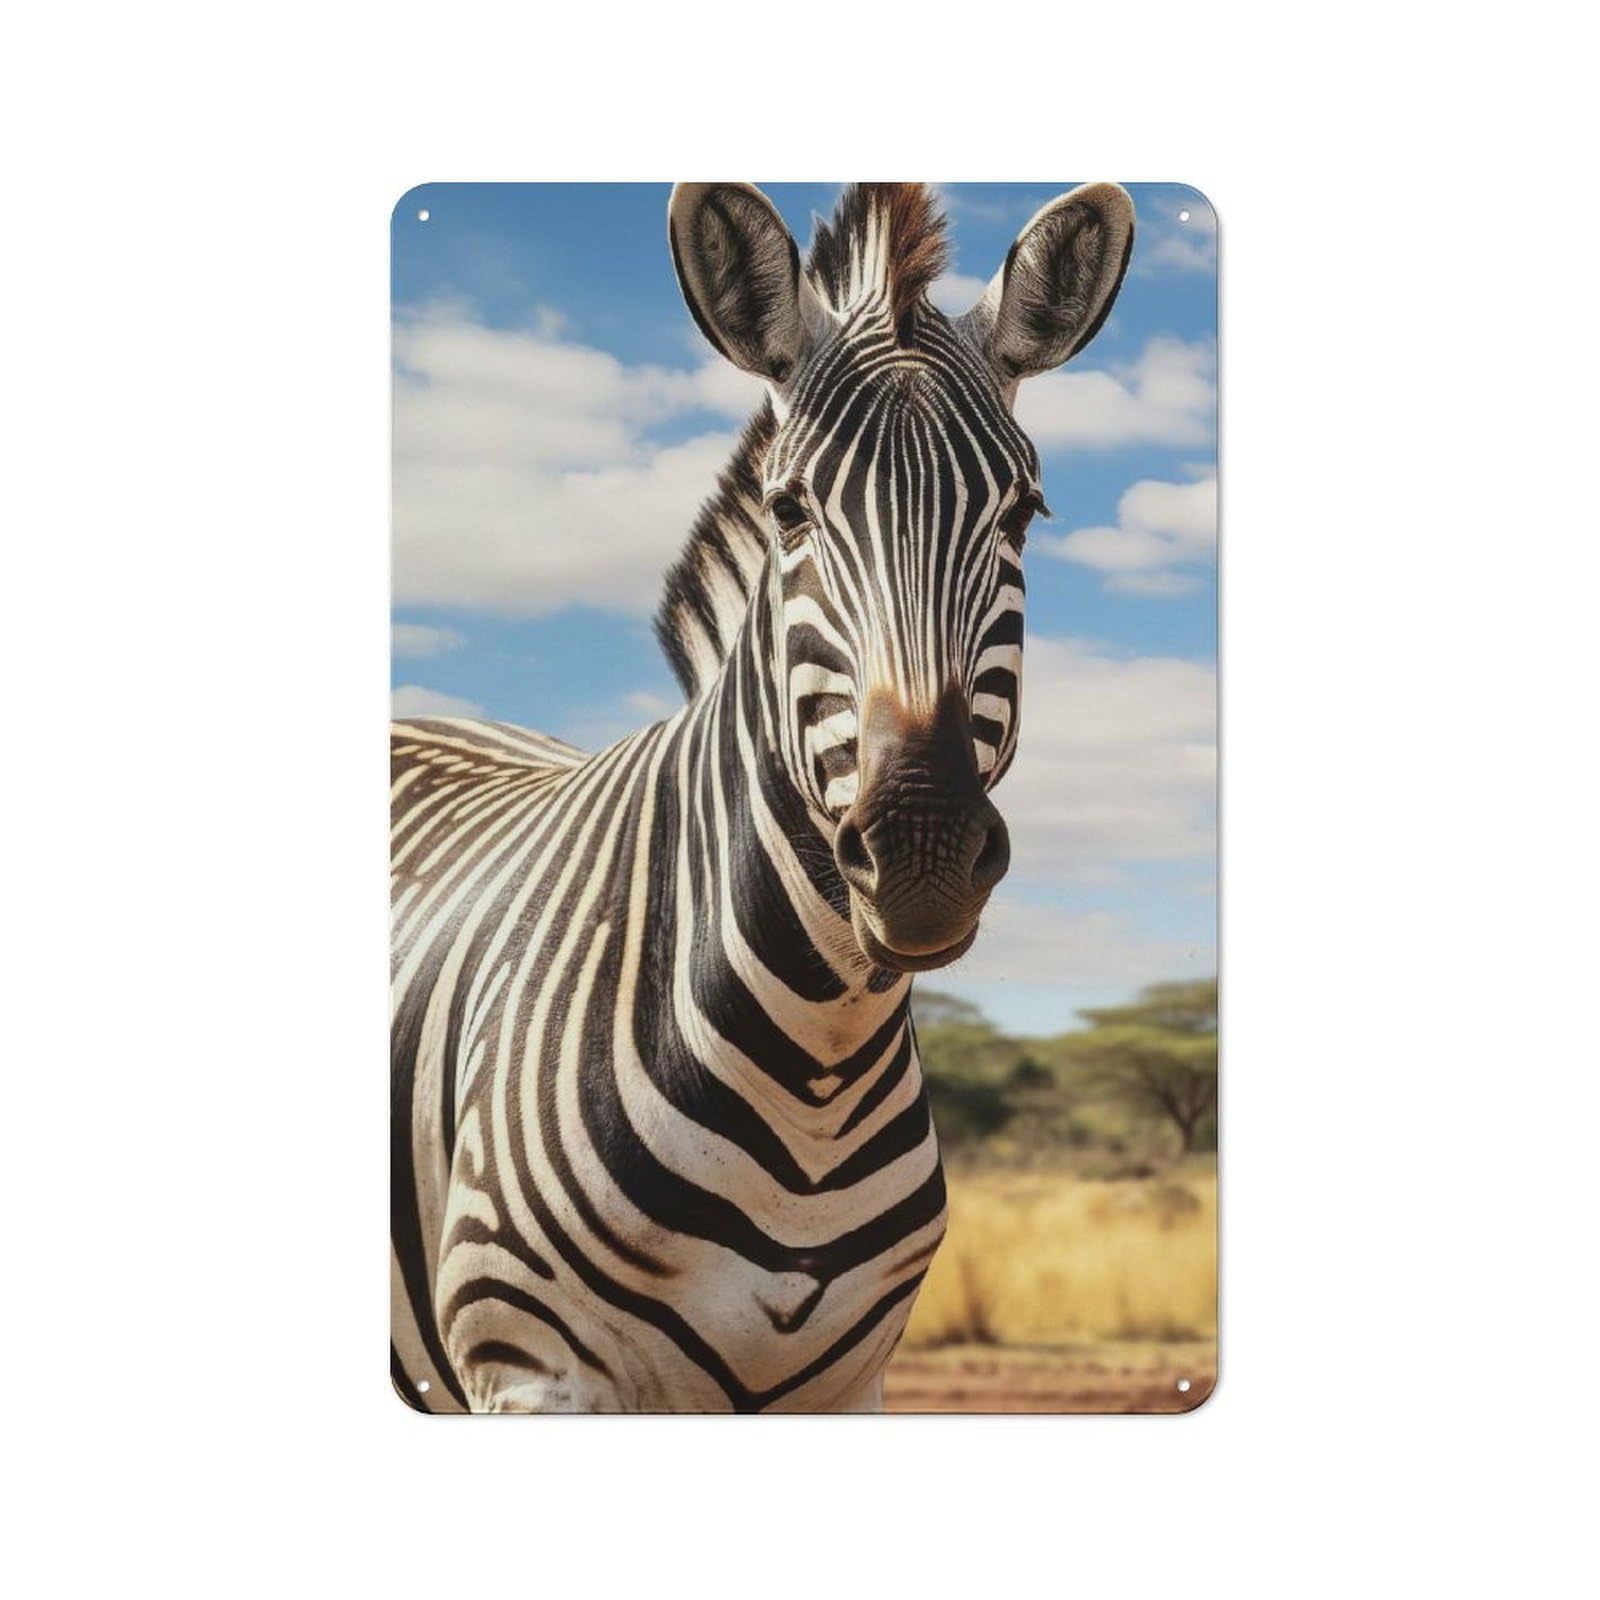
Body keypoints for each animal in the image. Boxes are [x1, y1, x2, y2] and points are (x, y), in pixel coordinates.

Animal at [392, 181, 1134, 1412]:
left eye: (1023, 515)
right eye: (790, 513)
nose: (923, 848)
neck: (814, 1059)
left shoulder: (847, 1385)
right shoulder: (532, 1369)